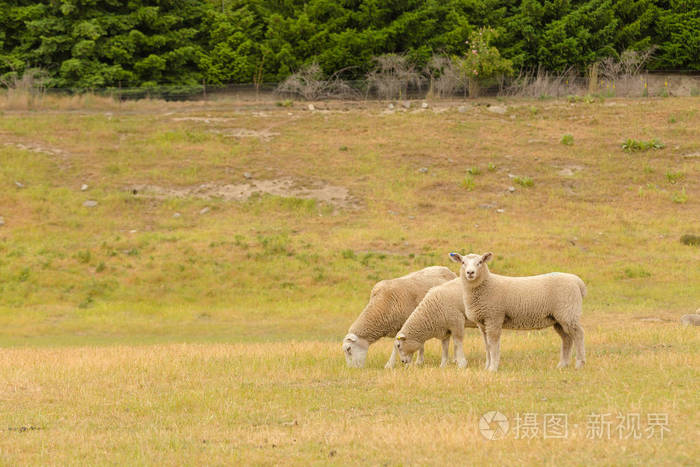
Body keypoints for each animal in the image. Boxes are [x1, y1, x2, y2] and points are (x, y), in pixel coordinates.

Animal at [448, 250, 584, 374]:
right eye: (463, 262)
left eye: (480, 262)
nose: (470, 273)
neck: (486, 285)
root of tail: (578, 281)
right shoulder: (483, 322)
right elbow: (487, 345)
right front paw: (487, 367)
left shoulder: (494, 317)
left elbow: (493, 344)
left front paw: (493, 368)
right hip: (559, 318)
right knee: (567, 339)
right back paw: (563, 365)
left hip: (568, 312)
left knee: (578, 335)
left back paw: (579, 363)